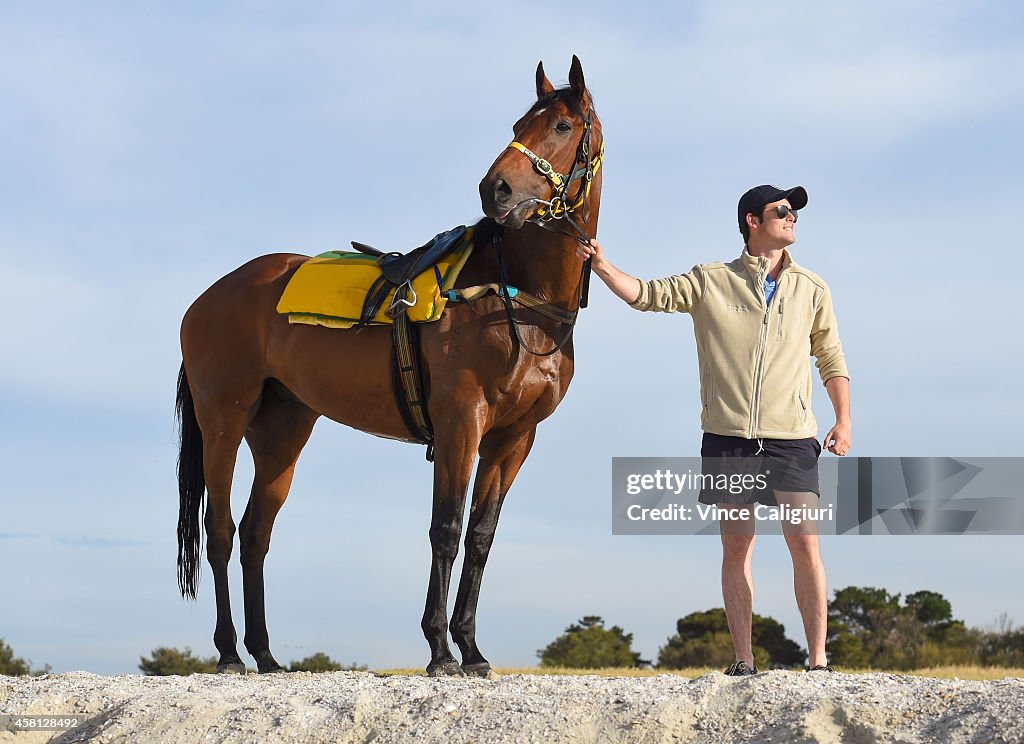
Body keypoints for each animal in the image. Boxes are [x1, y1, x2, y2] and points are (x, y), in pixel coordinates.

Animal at [176, 55, 602, 679]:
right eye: (520, 123)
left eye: (562, 126)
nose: (494, 189)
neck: (515, 294)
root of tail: (206, 298)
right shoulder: (460, 423)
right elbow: (446, 528)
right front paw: (440, 650)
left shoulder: (514, 438)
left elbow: (481, 536)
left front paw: (472, 649)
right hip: (222, 423)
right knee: (221, 531)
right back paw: (230, 652)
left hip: (282, 432)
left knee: (256, 533)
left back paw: (266, 655)